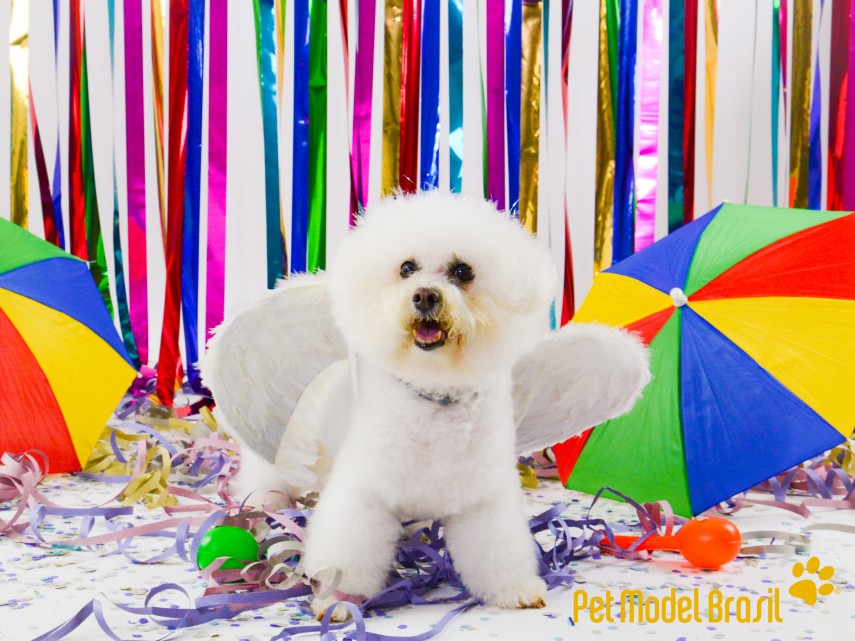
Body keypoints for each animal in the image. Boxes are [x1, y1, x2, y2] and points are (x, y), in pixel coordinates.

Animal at [204, 191, 652, 620]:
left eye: (462, 271)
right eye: (407, 268)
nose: (424, 295)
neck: (436, 399)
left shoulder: (483, 501)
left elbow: (497, 552)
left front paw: (515, 590)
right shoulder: (362, 496)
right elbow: (348, 552)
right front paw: (339, 599)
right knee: (269, 481)